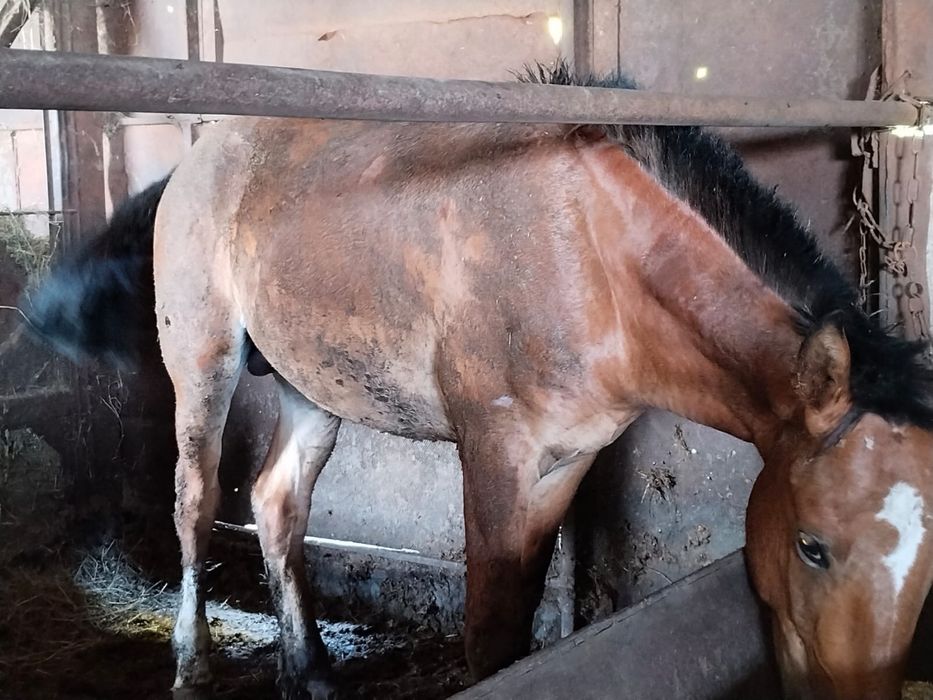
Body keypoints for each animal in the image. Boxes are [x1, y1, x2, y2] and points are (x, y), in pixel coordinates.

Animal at [26, 65, 933, 700]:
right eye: (811, 545)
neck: (594, 256)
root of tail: (201, 156)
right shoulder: (495, 453)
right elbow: (491, 635)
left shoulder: (567, 462)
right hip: (204, 365)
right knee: (196, 500)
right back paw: (193, 664)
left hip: (310, 387)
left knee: (277, 505)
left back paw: (308, 669)